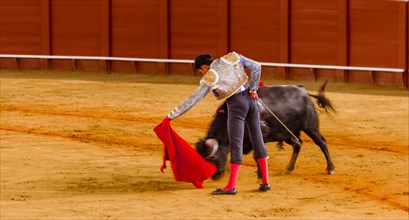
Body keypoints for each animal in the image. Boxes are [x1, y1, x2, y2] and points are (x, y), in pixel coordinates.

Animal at [197, 81, 334, 180]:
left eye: (212, 158)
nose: (214, 176)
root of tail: (304, 92)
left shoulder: (261, 134)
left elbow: (257, 154)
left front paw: (260, 174)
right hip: (287, 133)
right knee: (297, 144)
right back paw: (288, 169)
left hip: (310, 127)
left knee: (321, 143)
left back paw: (330, 168)